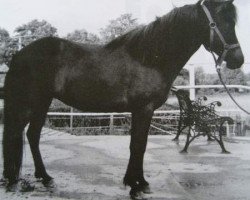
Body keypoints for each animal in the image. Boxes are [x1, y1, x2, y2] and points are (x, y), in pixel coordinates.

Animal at [1, 0, 244, 199]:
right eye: (221, 21)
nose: (238, 59)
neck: (149, 58)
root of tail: (20, 54)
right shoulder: (144, 109)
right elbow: (139, 145)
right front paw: (137, 184)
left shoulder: (140, 111)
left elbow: (136, 145)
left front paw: (135, 181)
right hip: (29, 104)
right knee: (15, 134)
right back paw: (13, 179)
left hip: (42, 103)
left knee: (32, 136)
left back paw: (45, 177)